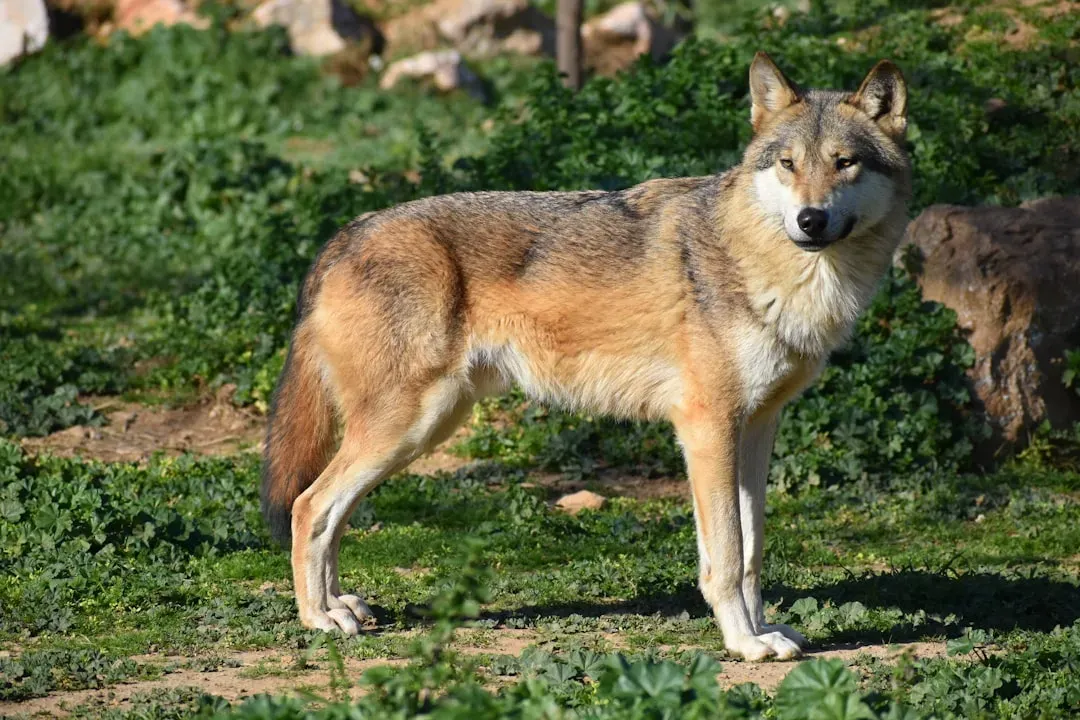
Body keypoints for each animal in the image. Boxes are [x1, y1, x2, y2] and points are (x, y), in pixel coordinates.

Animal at [261, 52, 910, 661]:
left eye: (844, 163)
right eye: (788, 164)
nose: (810, 219)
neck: (765, 265)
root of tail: (348, 231)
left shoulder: (756, 428)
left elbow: (752, 553)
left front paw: (766, 630)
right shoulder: (707, 428)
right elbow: (725, 557)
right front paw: (743, 644)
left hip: (420, 430)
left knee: (330, 512)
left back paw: (340, 604)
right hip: (408, 427)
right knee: (309, 506)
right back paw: (319, 619)